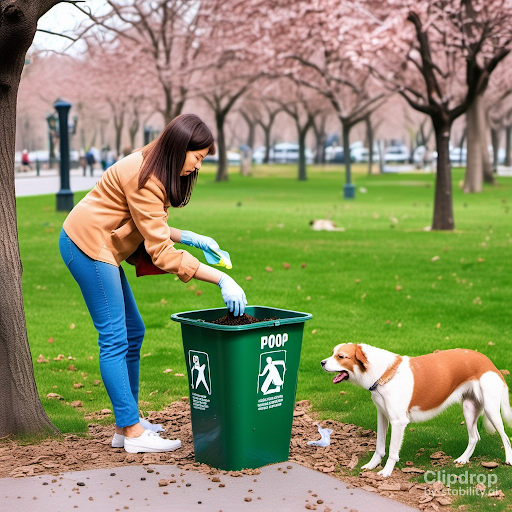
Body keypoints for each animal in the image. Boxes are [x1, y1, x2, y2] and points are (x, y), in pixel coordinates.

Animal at [322, 342, 510, 478]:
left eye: (341, 356)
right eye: (332, 352)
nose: (322, 363)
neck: (383, 372)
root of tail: (489, 362)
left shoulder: (398, 422)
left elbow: (392, 451)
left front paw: (386, 472)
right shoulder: (382, 416)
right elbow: (379, 447)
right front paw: (371, 465)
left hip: (491, 410)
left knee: (506, 438)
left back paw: (508, 460)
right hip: (469, 409)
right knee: (474, 437)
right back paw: (463, 459)